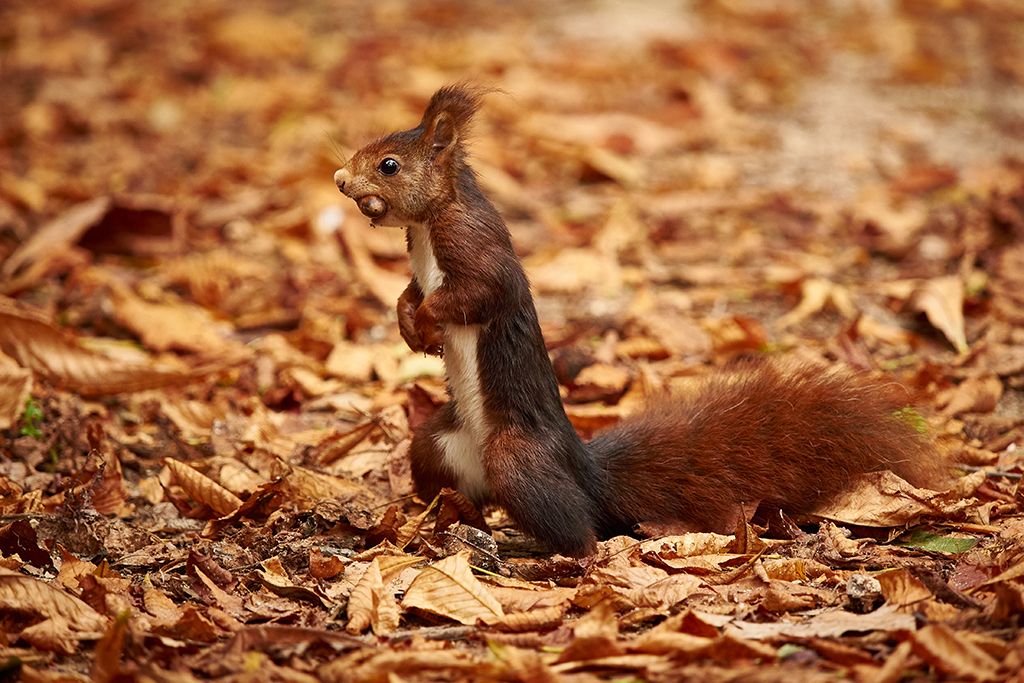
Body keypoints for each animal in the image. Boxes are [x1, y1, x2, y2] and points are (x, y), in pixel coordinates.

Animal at [333, 84, 941, 557]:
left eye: (389, 165)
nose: (340, 179)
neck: (428, 224)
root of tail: (584, 472)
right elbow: (408, 293)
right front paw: (411, 328)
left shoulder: (476, 250)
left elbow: (475, 293)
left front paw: (427, 323)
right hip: (437, 445)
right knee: (459, 489)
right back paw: (444, 521)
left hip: (516, 460)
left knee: (578, 529)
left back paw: (549, 553)